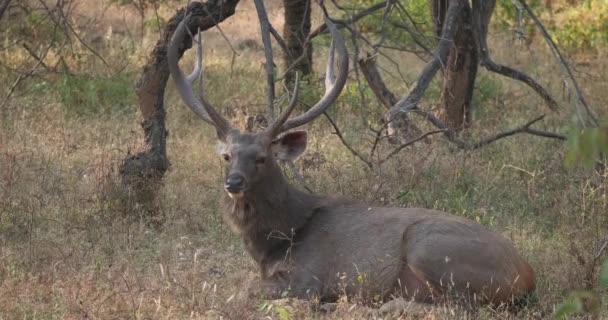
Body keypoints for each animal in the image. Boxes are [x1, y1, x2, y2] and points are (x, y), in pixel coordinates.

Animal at [166, 13, 532, 308]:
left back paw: (386, 306)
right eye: (227, 155)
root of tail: (526, 276)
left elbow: (243, 290)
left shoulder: (310, 277)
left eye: (261, 158)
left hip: (431, 248)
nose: (233, 182)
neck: (279, 239)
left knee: (460, 306)